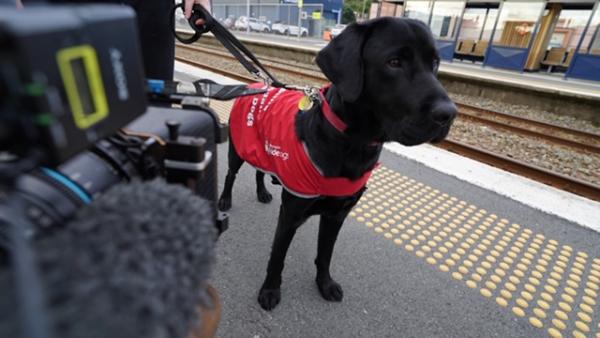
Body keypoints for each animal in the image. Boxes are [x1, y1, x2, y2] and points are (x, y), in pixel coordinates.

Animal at [218, 17, 458, 310]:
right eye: (394, 62)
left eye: (435, 63)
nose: (449, 114)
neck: (352, 142)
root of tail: (257, 84)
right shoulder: (291, 214)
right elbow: (277, 257)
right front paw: (270, 290)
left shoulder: (337, 214)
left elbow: (325, 254)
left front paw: (325, 284)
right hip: (238, 148)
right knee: (231, 174)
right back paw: (224, 200)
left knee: (260, 171)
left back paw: (262, 192)